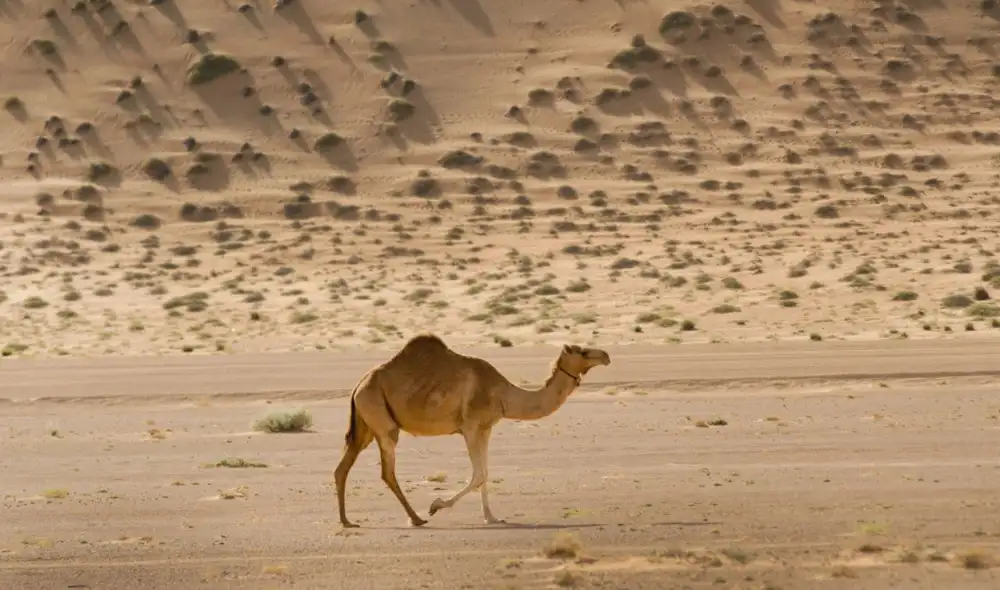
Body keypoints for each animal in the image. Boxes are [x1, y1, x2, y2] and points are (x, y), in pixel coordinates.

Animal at [333, 334, 611, 528]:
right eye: (582, 351)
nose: (606, 355)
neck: (504, 394)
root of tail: (359, 384)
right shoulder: (469, 426)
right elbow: (478, 474)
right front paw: (436, 505)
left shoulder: (485, 428)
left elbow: (485, 474)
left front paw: (492, 517)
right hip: (381, 420)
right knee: (387, 471)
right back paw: (417, 518)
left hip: (365, 425)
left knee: (343, 467)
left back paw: (347, 521)